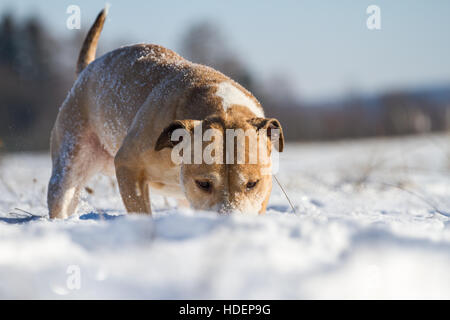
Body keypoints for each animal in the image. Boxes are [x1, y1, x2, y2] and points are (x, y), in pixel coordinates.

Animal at [46, 7, 284, 219]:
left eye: (252, 184)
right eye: (203, 184)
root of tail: (86, 71)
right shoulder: (128, 165)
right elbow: (140, 209)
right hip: (72, 158)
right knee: (62, 190)